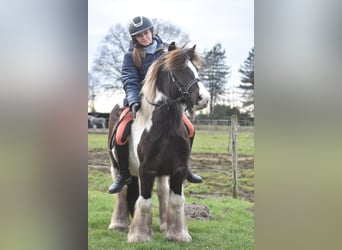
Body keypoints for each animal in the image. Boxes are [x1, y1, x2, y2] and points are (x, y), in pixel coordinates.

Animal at [108, 42, 210, 242]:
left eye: (195, 69)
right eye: (178, 70)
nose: (204, 98)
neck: (165, 128)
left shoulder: (178, 169)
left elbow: (176, 200)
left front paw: (177, 234)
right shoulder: (146, 170)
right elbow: (145, 201)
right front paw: (140, 235)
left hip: (161, 172)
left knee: (162, 192)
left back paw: (164, 224)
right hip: (117, 166)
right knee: (122, 191)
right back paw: (119, 224)